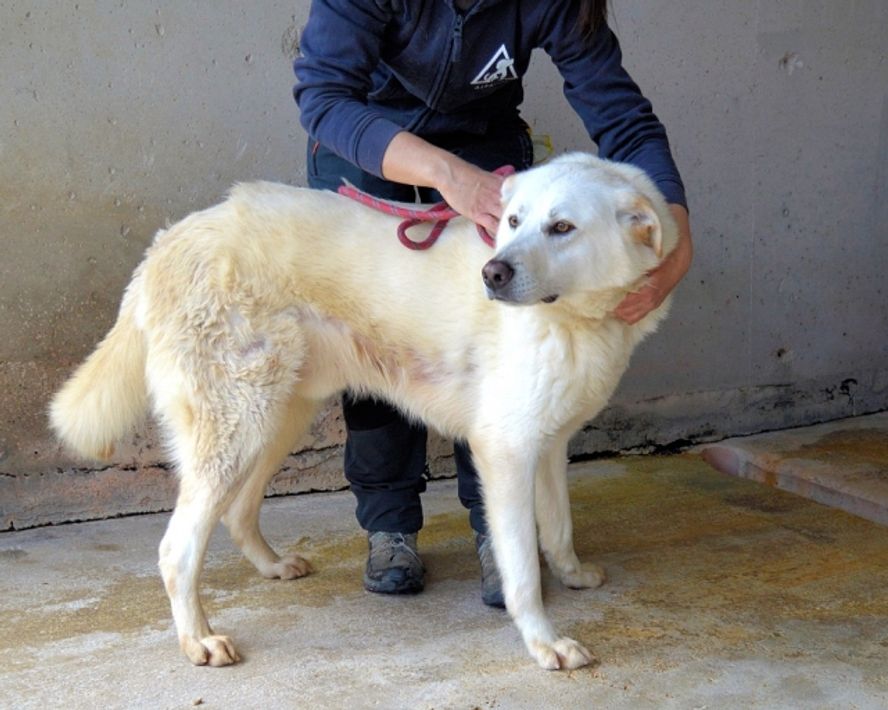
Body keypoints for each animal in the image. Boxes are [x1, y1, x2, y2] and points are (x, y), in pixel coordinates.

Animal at [50, 152, 676, 670]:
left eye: (562, 227)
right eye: (514, 221)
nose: (492, 274)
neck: (574, 320)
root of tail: (167, 242)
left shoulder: (548, 444)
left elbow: (559, 527)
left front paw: (573, 576)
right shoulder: (505, 450)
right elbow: (522, 570)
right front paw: (546, 643)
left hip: (277, 419)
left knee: (237, 511)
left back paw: (272, 567)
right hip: (238, 425)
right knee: (176, 549)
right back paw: (199, 640)